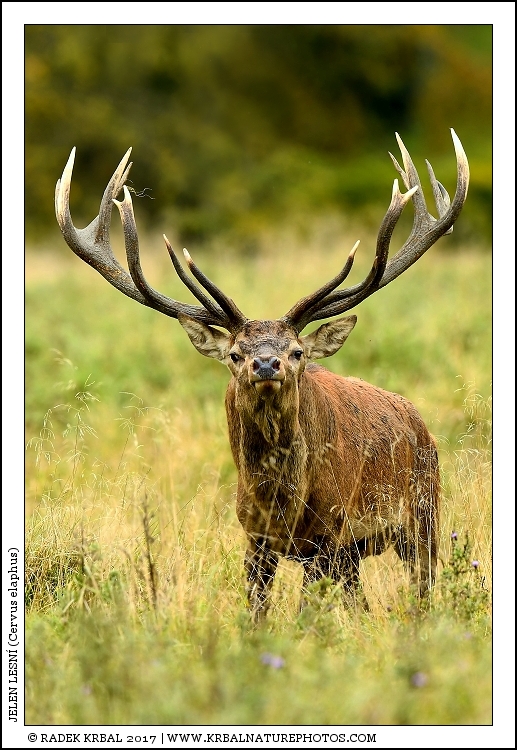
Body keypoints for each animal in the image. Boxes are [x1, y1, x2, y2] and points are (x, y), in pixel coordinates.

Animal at [55, 130, 469, 621]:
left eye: (297, 352)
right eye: (235, 354)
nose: (267, 364)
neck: (281, 502)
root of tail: (421, 424)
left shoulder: (328, 534)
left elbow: (308, 614)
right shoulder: (254, 537)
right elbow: (255, 610)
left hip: (423, 514)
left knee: (423, 587)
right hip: (360, 549)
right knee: (361, 600)